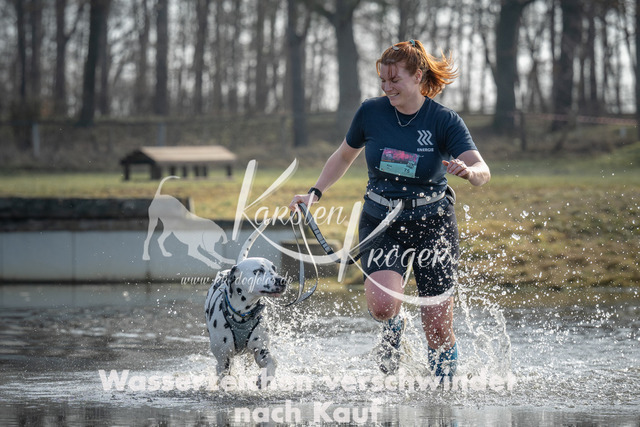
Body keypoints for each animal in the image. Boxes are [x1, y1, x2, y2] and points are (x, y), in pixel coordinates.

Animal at [204, 257, 288, 388]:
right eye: (258, 271)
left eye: (274, 269)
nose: (283, 280)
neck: (242, 316)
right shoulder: (224, 359)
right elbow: (226, 376)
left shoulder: (261, 350)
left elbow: (273, 361)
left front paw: (265, 378)